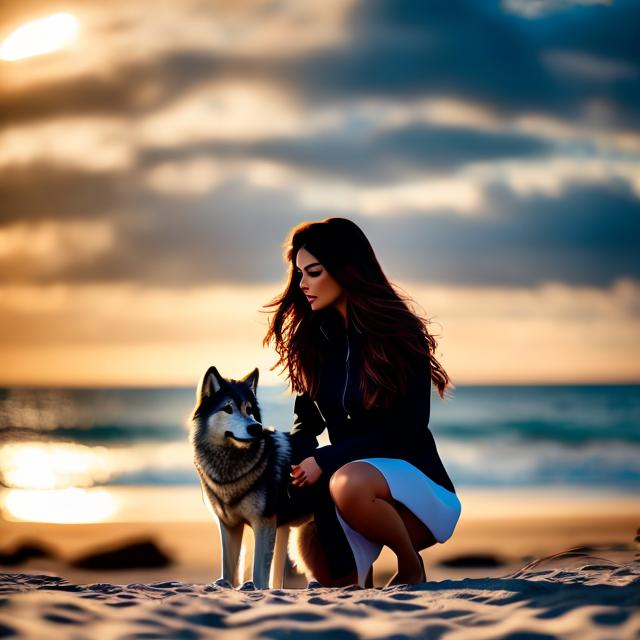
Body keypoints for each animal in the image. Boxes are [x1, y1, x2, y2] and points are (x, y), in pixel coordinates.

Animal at [190, 364, 316, 592]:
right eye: (228, 408)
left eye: (249, 410)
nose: (256, 427)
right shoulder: (228, 526)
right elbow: (229, 573)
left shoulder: (264, 524)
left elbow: (258, 576)